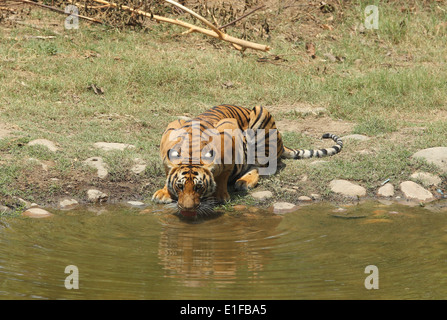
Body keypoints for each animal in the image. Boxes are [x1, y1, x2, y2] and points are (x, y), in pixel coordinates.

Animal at [151, 104, 344, 218]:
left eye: (199, 187)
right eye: (180, 186)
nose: (187, 210)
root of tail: (282, 142)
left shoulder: (229, 131)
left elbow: (224, 173)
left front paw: (220, 195)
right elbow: (168, 171)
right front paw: (163, 193)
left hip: (261, 116)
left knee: (263, 167)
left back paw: (244, 182)